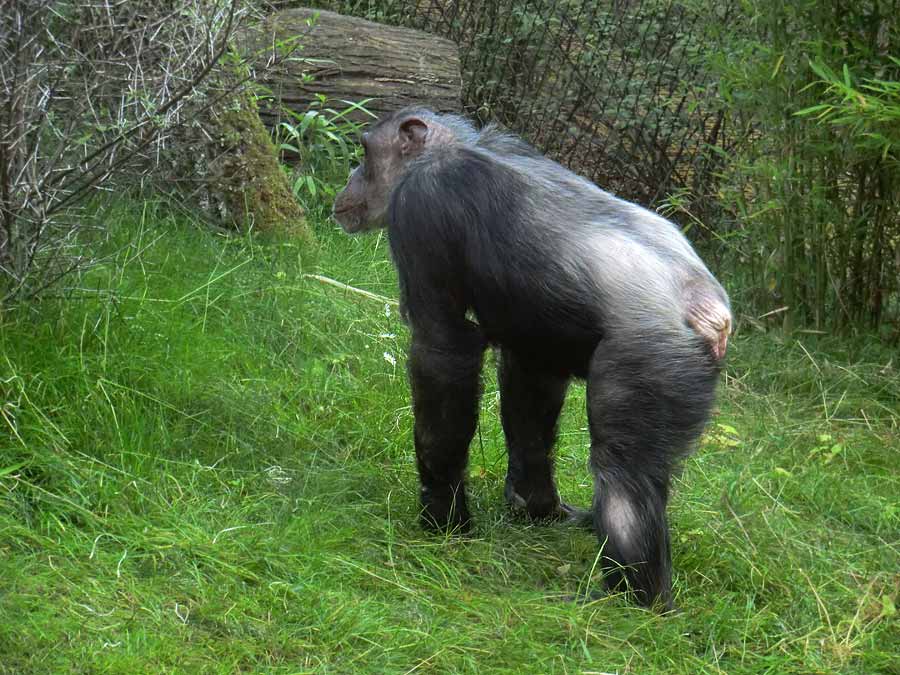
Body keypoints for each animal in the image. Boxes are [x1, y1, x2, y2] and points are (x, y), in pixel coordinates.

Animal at [330, 107, 732, 612]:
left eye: (365, 152)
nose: (350, 178)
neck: (450, 150)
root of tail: (707, 309)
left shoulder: (423, 208)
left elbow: (443, 349)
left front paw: (442, 515)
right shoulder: (536, 336)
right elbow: (530, 386)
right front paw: (534, 506)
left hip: (651, 360)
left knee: (625, 476)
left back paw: (631, 599)